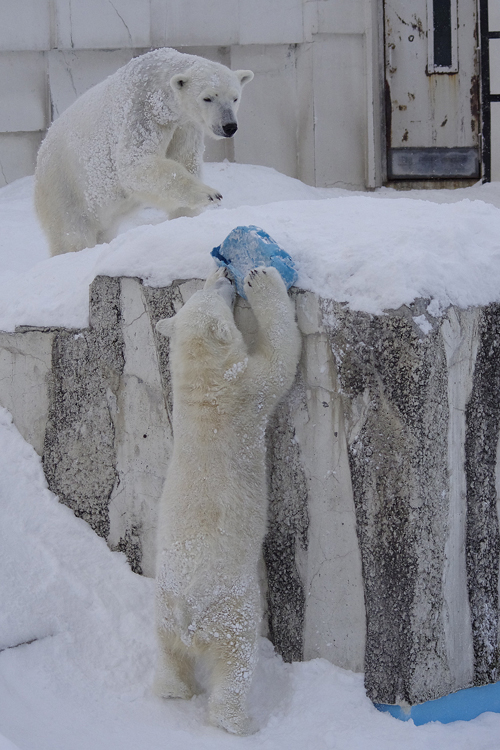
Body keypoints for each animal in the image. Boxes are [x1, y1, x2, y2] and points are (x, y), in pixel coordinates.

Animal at [34, 49, 254, 258]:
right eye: (207, 97)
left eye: (235, 97)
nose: (229, 126)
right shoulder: (143, 109)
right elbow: (135, 164)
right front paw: (209, 194)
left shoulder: (184, 126)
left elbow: (185, 161)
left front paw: (184, 218)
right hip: (64, 186)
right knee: (71, 232)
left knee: (103, 230)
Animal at [152, 266, 300, 736]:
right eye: (216, 293)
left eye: (205, 288)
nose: (220, 272)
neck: (205, 387)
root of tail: (186, 609)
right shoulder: (248, 391)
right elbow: (281, 357)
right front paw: (262, 277)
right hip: (231, 607)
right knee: (236, 660)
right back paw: (240, 721)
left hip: (161, 612)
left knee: (168, 652)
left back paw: (172, 690)